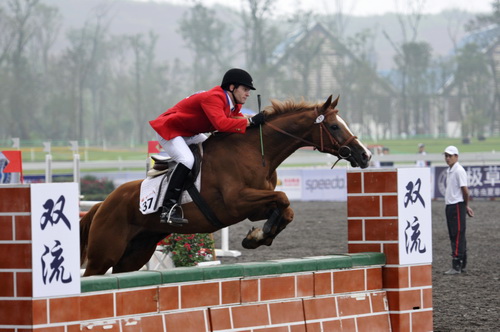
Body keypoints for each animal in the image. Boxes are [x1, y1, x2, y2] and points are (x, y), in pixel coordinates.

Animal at [81, 94, 372, 276]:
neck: (256, 152)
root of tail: (102, 204)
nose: (365, 155)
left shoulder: (255, 204)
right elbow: (283, 197)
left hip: (136, 252)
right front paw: (259, 235)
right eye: (334, 127)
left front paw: (258, 236)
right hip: (104, 253)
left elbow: (286, 208)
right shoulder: (237, 202)